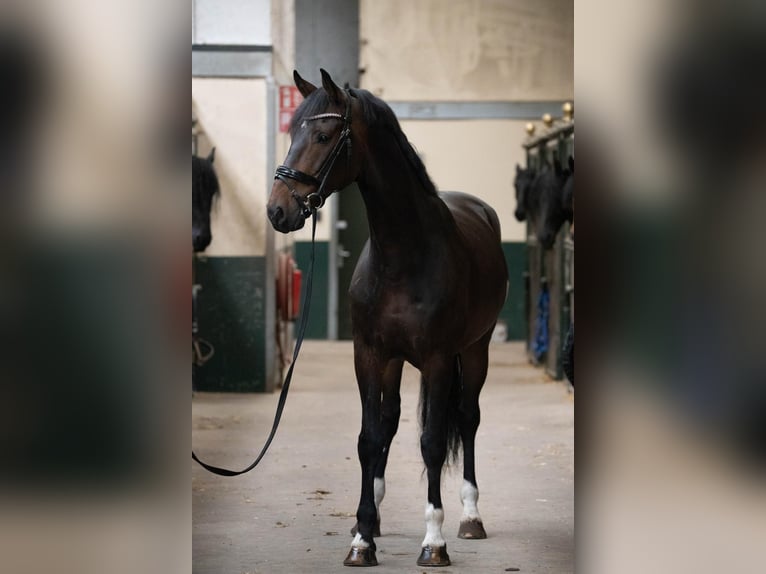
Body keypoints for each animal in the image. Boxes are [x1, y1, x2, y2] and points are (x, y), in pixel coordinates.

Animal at [268, 70, 510, 568]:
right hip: (396, 362)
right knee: (391, 419)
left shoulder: (438, 360)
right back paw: (376, 514)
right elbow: (369, 436)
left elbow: (432, 442)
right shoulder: (369, 355)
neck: (403, 254)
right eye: (292, 132)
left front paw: (434, 542)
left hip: (475, 351)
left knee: (467, 418)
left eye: (323, 136)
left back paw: (470, 517)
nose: (277, 210)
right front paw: (362, 538)